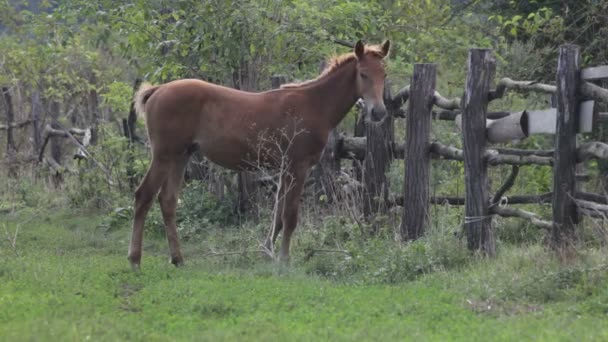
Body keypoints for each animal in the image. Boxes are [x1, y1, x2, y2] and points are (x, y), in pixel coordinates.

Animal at [131, 40, 392, 268]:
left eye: (384, 75)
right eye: (363, 74)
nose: (378, 112)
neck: (314, 104)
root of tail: (158, 90)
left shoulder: (285, 169)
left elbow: (278, 216)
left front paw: (269, 251)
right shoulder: (298, 167)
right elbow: (290, 215)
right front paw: (284, 260)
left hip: (181, 156)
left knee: (168, 201)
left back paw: (177, 259)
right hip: (164, 155)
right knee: (143, 196)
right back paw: (135, 259)